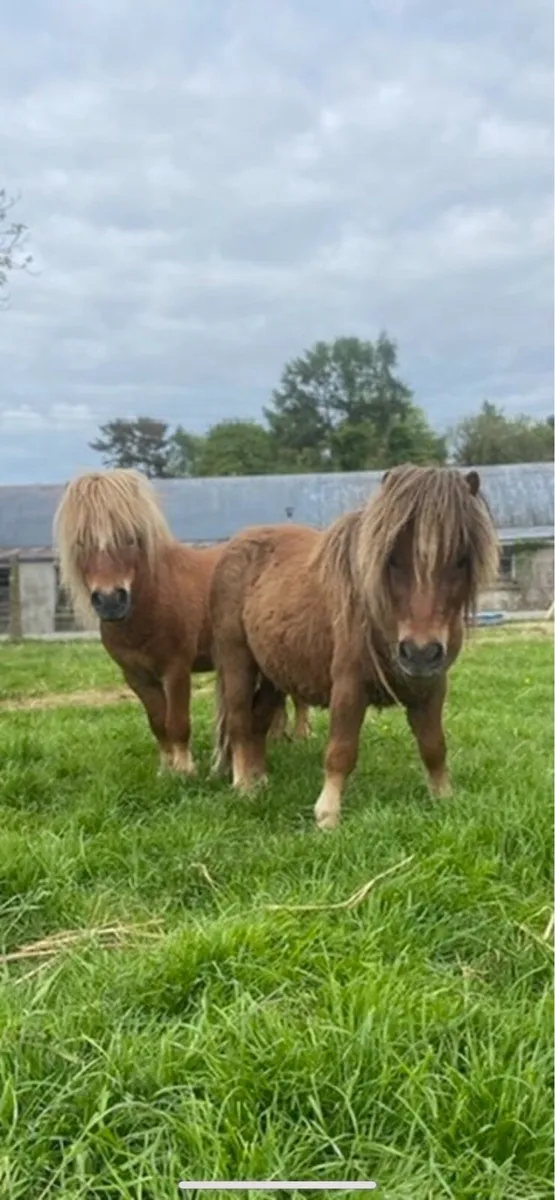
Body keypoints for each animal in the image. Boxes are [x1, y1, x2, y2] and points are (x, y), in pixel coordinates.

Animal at [53, 468, 311, 776]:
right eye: (81, 541)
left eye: (130, 537)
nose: (110, 600)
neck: (150, 604)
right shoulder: (136, 676)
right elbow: (158, 722)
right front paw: (166, 769)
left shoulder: (176, 669)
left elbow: (177, 722)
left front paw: (186, 771)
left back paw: (301, 737)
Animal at [209, 463, 499, 828]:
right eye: (391, 558)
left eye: (461, 559)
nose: (419, 653)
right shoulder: (349, 686)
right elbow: (341, 751)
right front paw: (327, 816)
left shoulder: (432, 686)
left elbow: (434, 747)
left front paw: (444, 798)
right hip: (237, 661)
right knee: (238, 720)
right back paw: (244, 785)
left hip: (275, 672)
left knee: (257, 720)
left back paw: (259, 779)